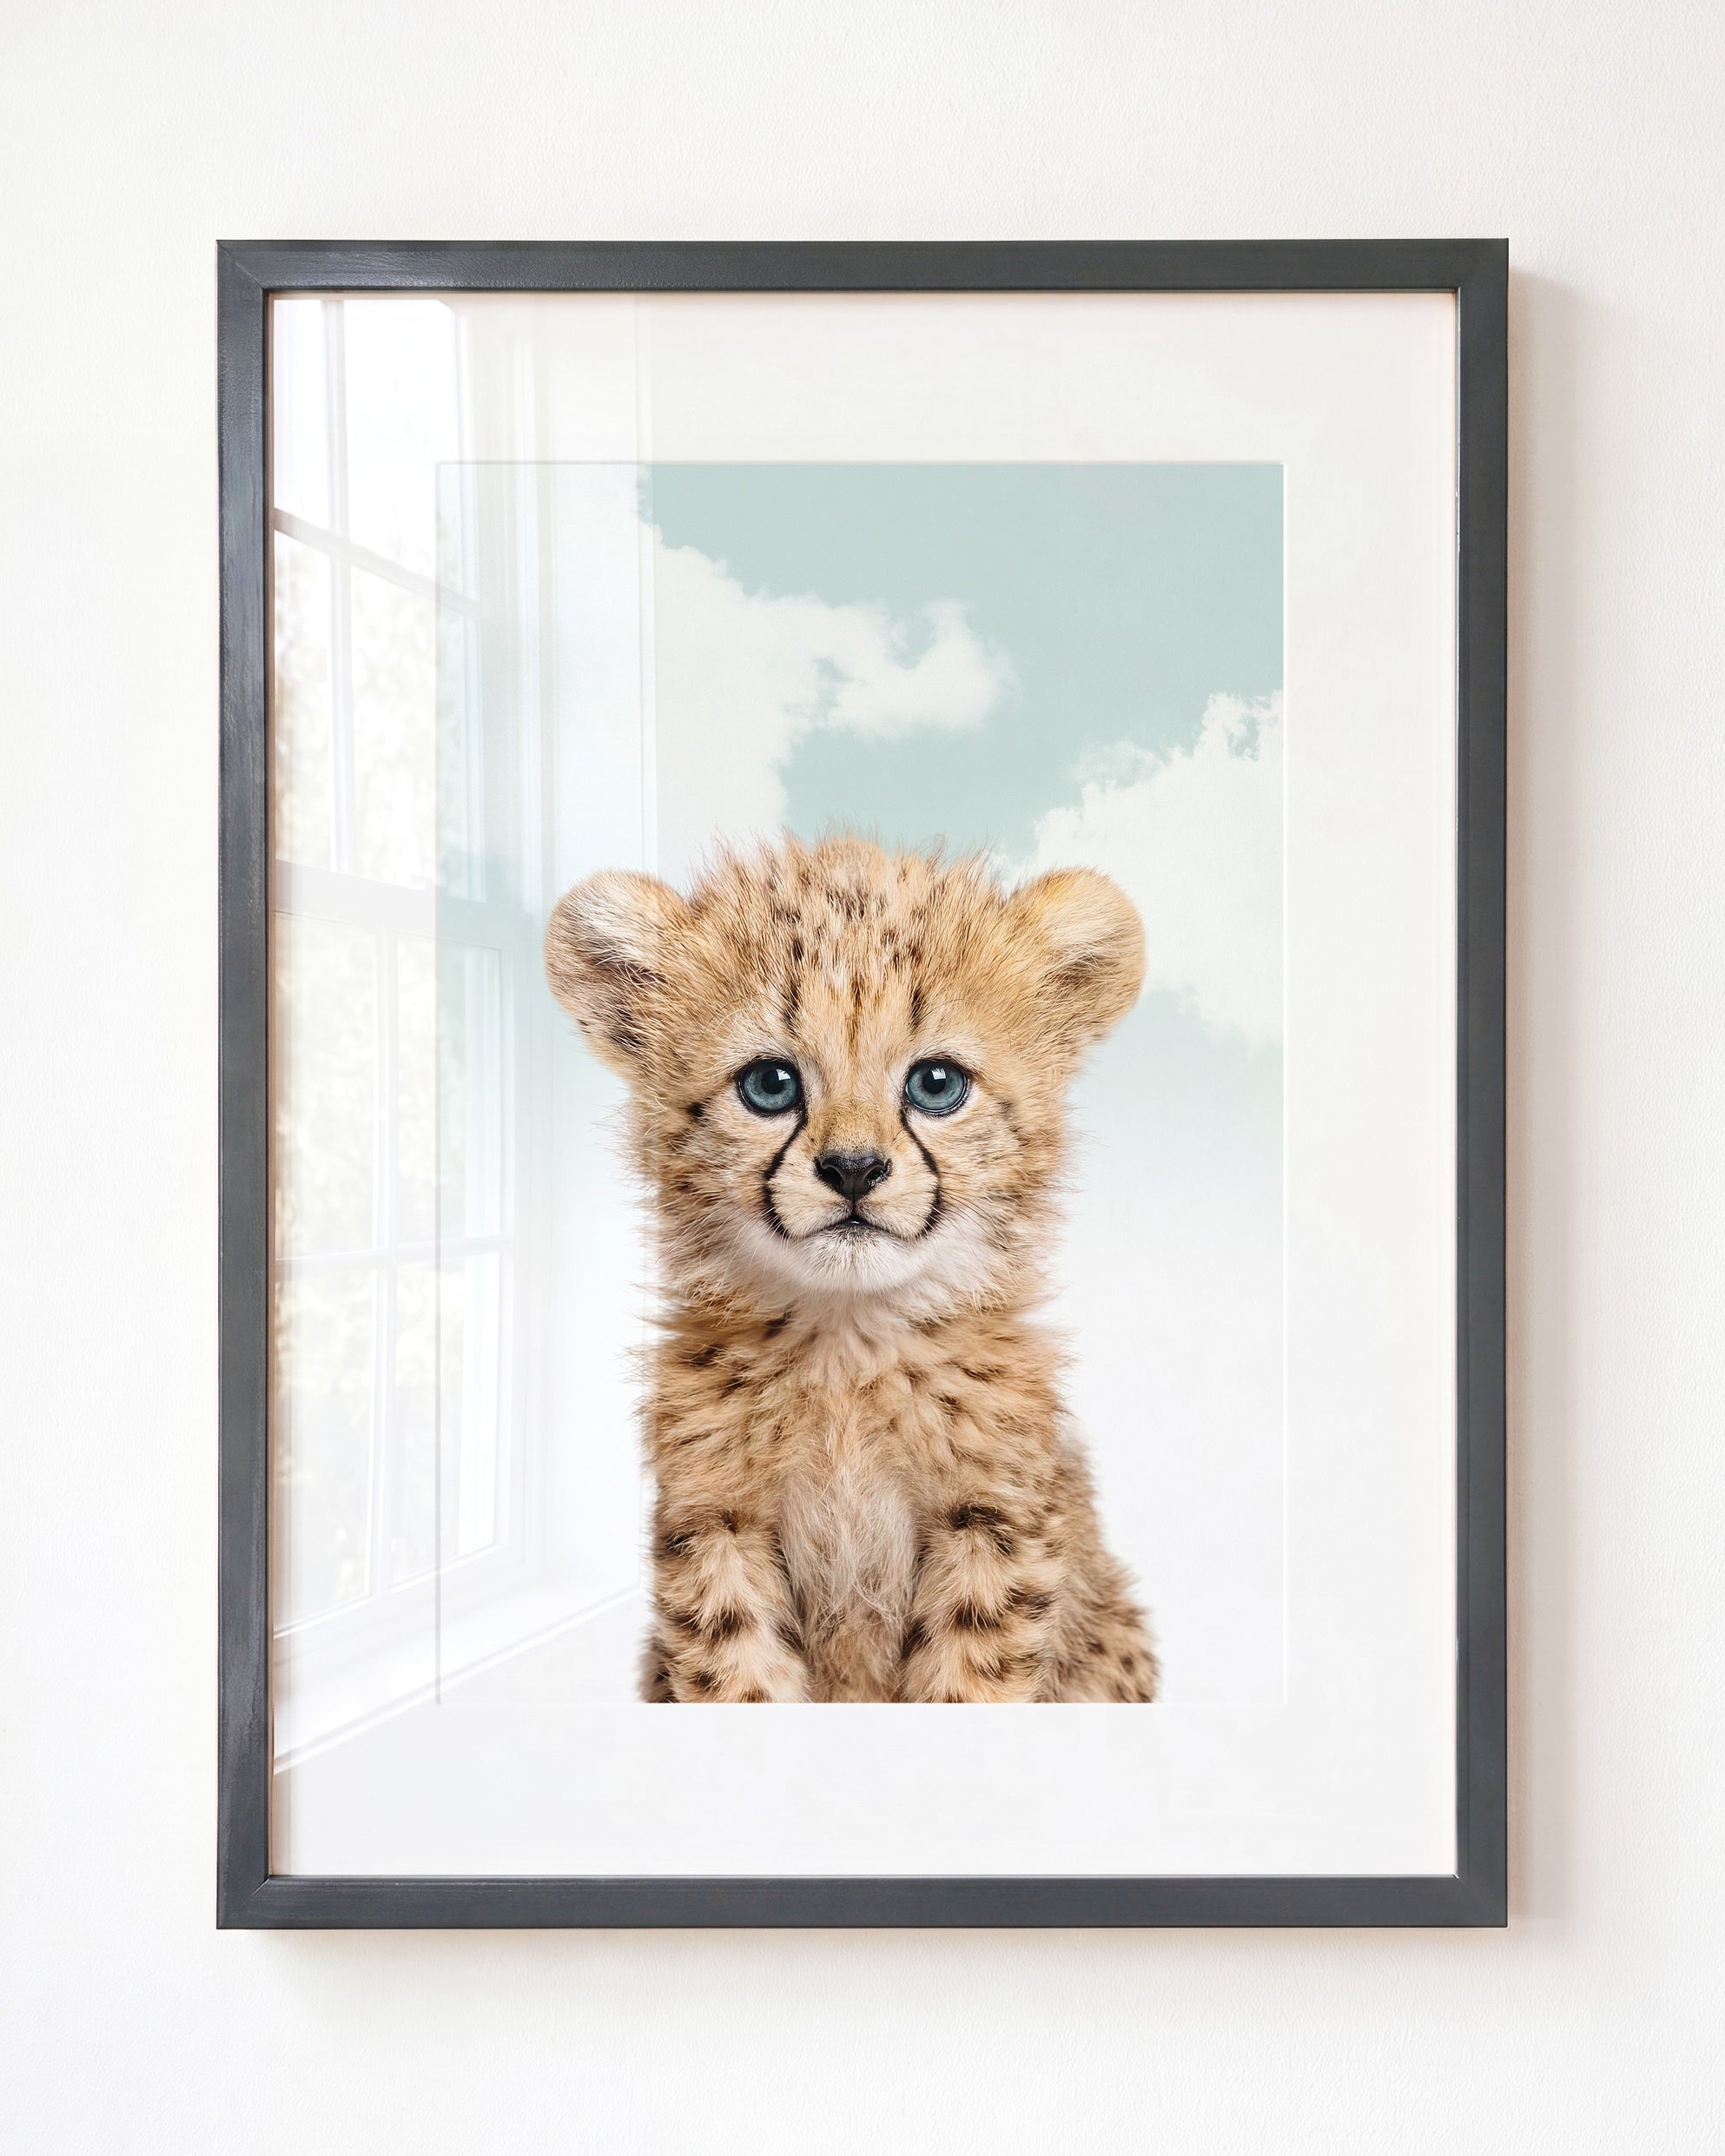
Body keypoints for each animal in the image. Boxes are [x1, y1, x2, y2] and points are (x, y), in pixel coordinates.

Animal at [544, 833, 1159, 1703]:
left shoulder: (993, 1524)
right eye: (770, 1084)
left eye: (936, 1083)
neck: (848, 1344)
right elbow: (739, 1676)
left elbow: (969, 1680)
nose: (854, 1169)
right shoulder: (717, 1526)